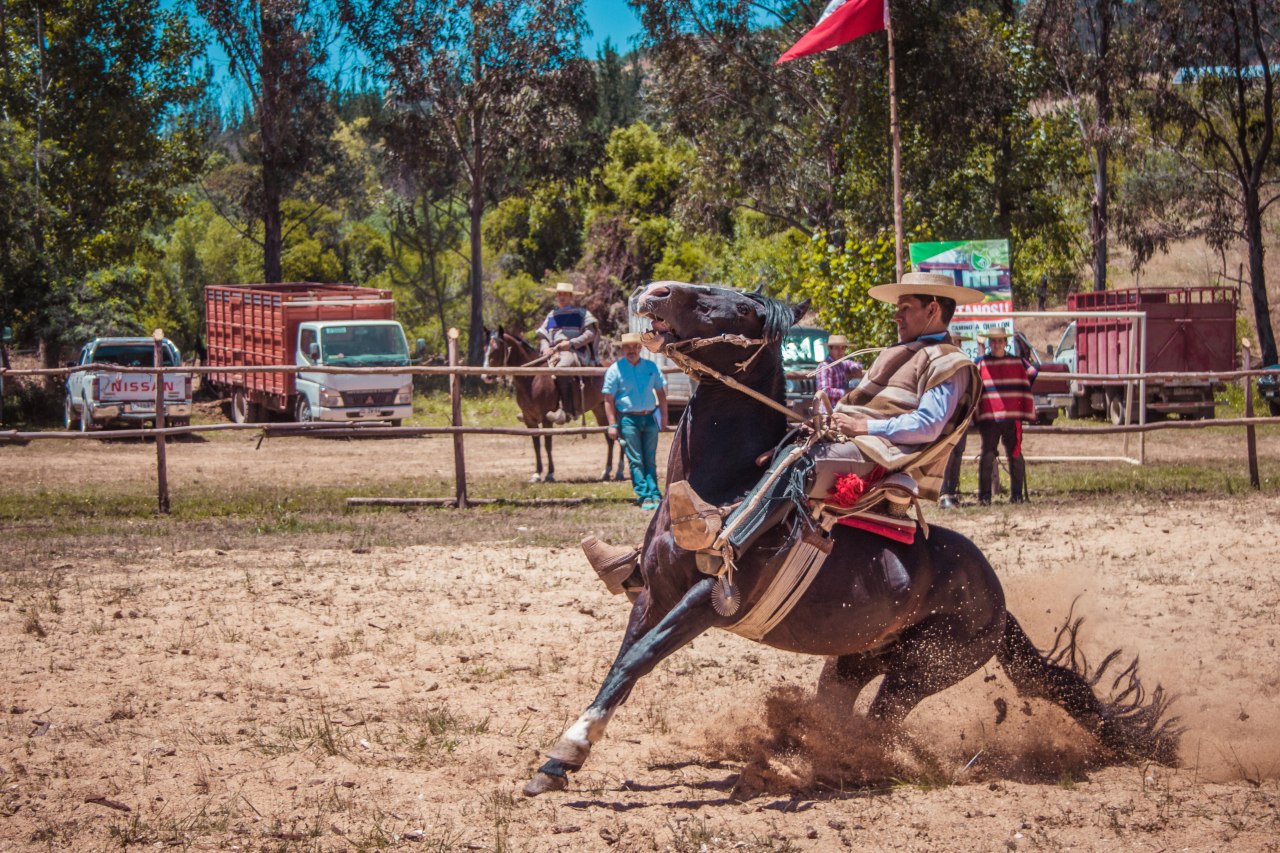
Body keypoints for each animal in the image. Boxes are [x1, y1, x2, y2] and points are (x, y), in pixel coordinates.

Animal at [481, 325, 627, 481]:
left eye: (496, 349)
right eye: (484, 348)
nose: (485, 376)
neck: (533, 379)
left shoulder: (546, 418)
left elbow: (547, 444)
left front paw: (550, 474)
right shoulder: (529, 420)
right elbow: (536, 445)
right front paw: (537, 473)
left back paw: (619, 471)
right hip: (600, 410)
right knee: (609, 438)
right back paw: (606, 471)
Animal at [522, 281, 1177, 794]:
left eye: (736, 307)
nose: (654, 291)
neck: (725, 486)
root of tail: (997, 602)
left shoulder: (708, 601)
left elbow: (640, 658)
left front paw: (567, 749)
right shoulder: (655, 595)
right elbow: (623, 662)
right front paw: (564, 756)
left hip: (922, 670)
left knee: (878, 725)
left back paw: (834, 764)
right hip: (854, 660)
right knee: (840, 708)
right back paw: (799, 750)